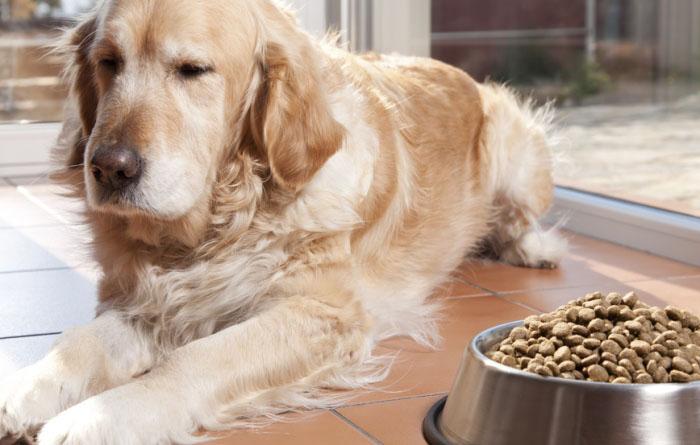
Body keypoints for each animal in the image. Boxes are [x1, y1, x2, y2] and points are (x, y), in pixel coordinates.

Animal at [0, 0, 564, 440]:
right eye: (108, 63)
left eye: (192, 70)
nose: (108, 168)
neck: (220, 224)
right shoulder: (148, 303)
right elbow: (79, 343)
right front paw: (22, 389)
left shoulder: (321, 313)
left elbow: (197, 357)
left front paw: (98, 417)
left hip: (519, 153)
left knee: (521, 218)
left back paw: (531, 249)